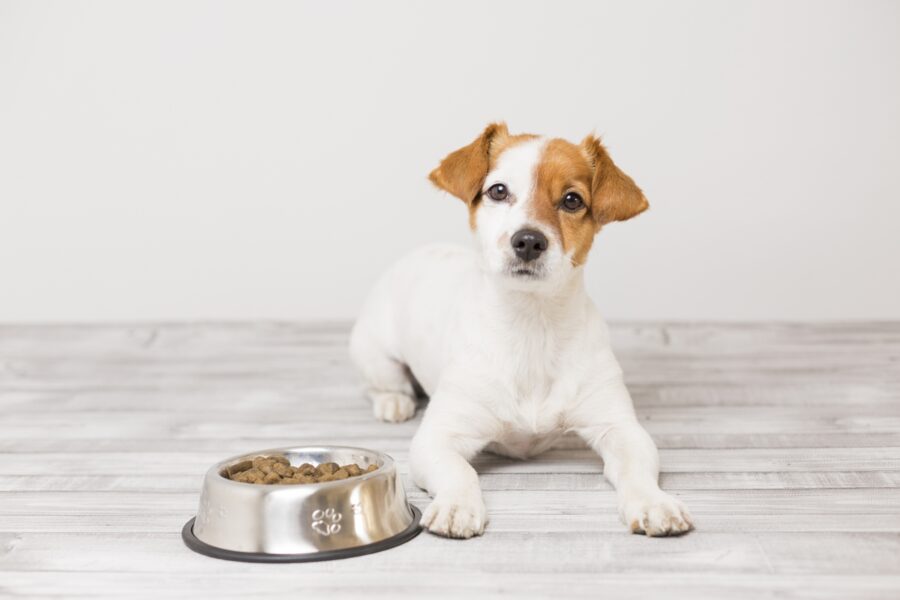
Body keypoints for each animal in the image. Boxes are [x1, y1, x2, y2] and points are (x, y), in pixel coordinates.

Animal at [348, 123, 692, 540]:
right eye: (498, 190)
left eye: (572, 200)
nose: (528, 240)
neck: (531, 325)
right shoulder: (438, 437)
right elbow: (459, 471)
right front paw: (457, 505)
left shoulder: (621, 428)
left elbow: (636, 468)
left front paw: (653, 502)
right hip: (375, 355)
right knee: (382, 384)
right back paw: (393, 402)